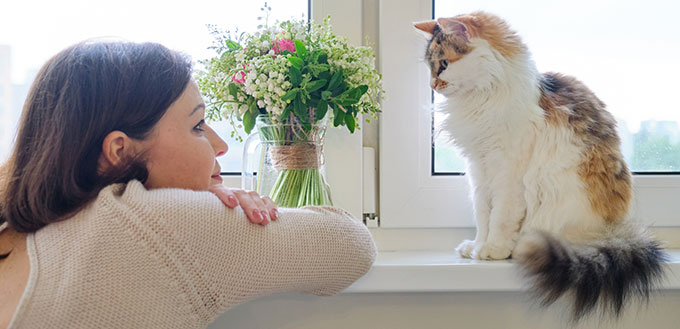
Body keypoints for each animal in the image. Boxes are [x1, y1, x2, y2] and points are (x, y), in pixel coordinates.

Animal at [414, 11, 664, 322]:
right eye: (430, 67)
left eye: (444, 64)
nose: (432, 86)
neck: (481, 101)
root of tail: (612, 235)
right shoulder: (479, 170)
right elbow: (483, 215)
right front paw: (477, 245)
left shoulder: (507, 172)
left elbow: (499, 217)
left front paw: (493, 249)